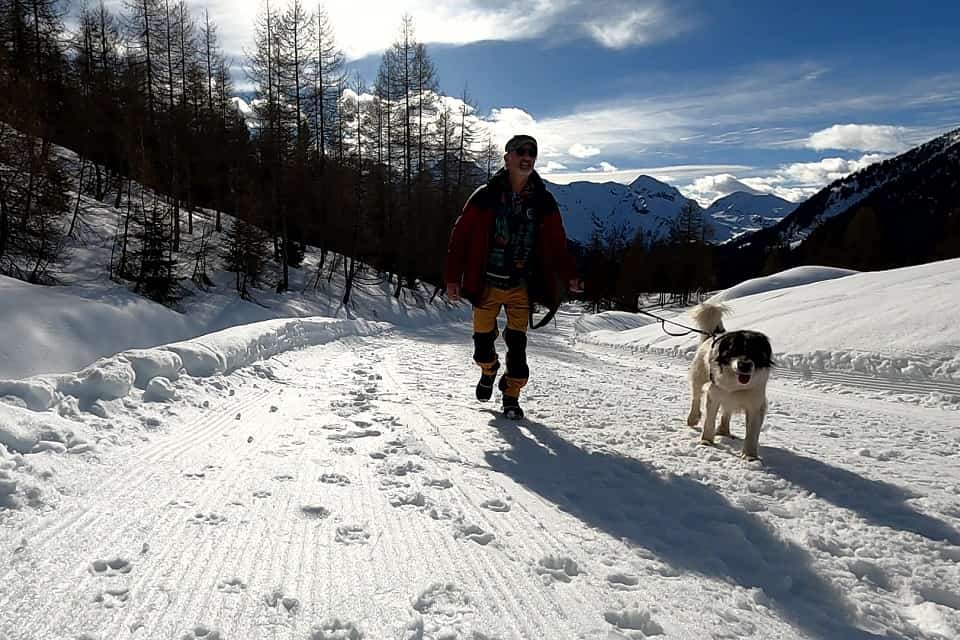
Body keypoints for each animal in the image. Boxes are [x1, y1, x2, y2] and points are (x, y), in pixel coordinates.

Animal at [688, 302, 776, 458]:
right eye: (734, 349)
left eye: (755, 352)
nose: (744, 365)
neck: (736, 383)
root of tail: (713, 335)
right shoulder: (714, 393)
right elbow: (709, 420)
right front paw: (706, 441)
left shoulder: (755, 403)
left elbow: (752, 431)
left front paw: (750, 456)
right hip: (699, 374)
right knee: (696, 396)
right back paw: (693, 417)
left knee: (727, 410)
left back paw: (724, 430)